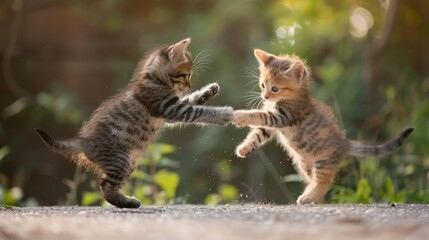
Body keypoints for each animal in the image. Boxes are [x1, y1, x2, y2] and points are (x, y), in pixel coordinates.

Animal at [35, 38, 232, 208]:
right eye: (186, 75)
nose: (189, 85)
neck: (153, 80)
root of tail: (86, 142)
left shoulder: (171, 110)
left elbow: (192, 100)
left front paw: (209, 90)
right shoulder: (169, 108)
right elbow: (199, 111)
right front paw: (223, 114)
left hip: (129, 164)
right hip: (121, 160)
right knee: (104, 186)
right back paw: (128, 203)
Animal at [232, 48, 412, 204]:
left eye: (275, 88)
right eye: (263, 85)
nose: (265, 96)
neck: (291, 98)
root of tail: (344, 144)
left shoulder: (283, 117)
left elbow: (259, 115)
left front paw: (239, 116)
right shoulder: (273, 125)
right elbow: (258, 134)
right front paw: (244, 149)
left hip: (324, 161)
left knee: (325, 181)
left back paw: (308, 197)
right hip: (304, 164)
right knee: (314, 179)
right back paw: (311, 196)